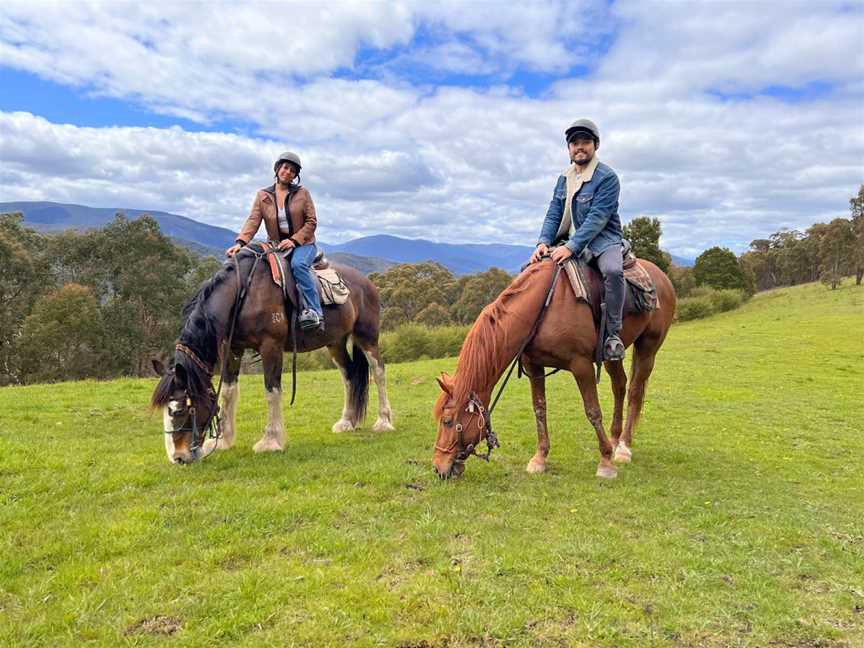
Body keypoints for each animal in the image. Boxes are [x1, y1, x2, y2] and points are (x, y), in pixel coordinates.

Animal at [150, 248, 394, 466]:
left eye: (180, 409)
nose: (178, 458)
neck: (242, 294)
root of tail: (366, 282)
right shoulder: (231, 348)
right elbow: (228, 391)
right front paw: (223, 440)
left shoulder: (270, 346)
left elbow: (271, 390)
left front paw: (270, 441)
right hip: (335, 342)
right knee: (349, 376)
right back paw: (346, 422)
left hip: (366, 336)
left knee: (378, 372)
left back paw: (384, 421)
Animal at [432, 260, 676, 480]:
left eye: (448, 421)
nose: (438, 468)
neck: (541, 308)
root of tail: (661, 276)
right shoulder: (534, 366)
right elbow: (540, 409)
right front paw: (539, 459)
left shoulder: (581, 365)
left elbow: (593, 411)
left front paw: (605, 462)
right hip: (612, 355)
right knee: (620, 386)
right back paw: (615, 440)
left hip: (648, 347)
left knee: (635, 390)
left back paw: (623, 447)